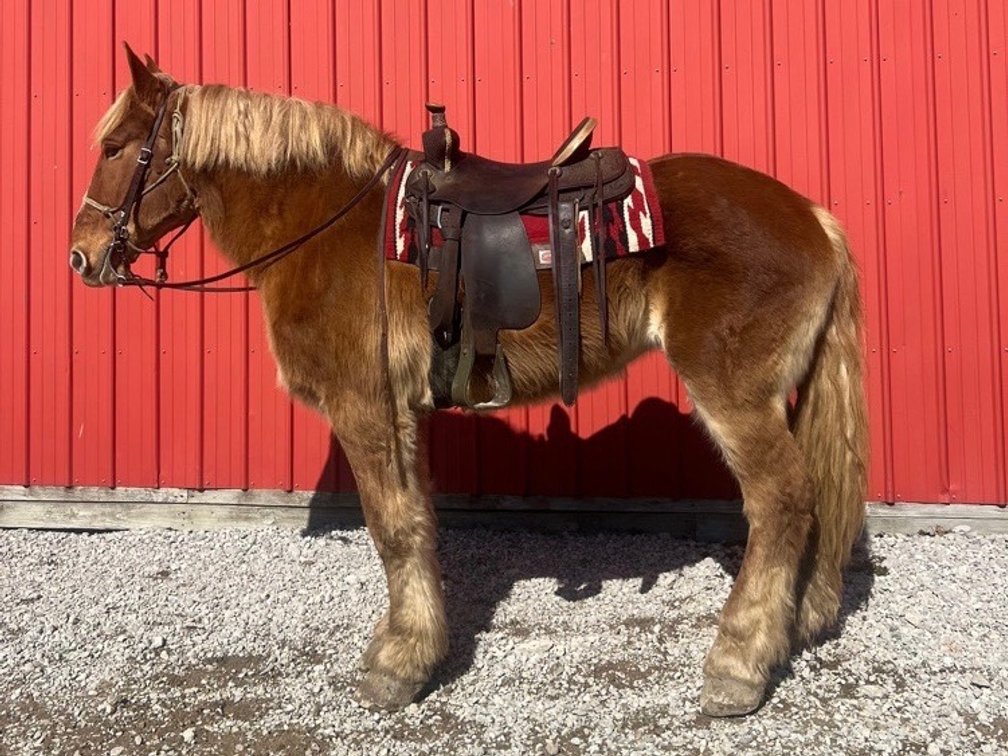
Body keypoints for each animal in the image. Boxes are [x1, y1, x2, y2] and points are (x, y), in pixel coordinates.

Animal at [69, 46, 868, 718]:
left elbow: (392, 528)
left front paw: (397, 668)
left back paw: (738, 666)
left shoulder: (364, 407)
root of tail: (814, 218)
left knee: (783, 504)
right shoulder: (401, 413)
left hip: (734, 395)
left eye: (113, 147)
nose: (81, 255)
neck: (330, 228)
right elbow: (417, 524)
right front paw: (414, 646)